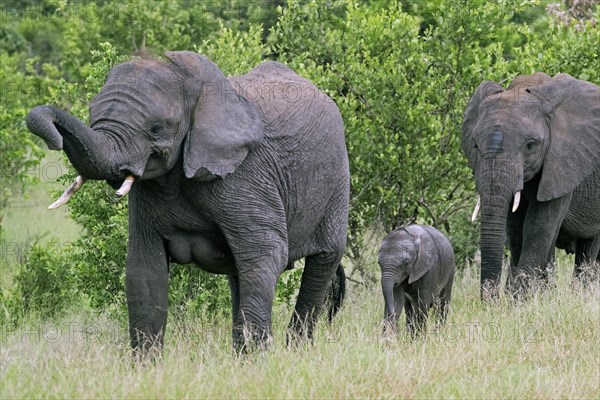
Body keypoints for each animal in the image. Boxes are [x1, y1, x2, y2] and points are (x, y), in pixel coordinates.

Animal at [25, 51, 350, 354]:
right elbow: (144, 269)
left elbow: (265, 254)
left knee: (322, 262)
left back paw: (295, 351)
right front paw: (146, 369)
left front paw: (259, 364)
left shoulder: (248, 175)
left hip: (336, 180)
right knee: (239, 274)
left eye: (157, 128)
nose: (54, 137)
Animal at [464, 72, 600, 298]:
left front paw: (519, 298)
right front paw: (520, 298)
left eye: (531, 145)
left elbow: (538, 226)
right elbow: (515, 228)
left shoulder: (563, 163)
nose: (492, 301)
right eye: (475, 145)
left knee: (589, 249)